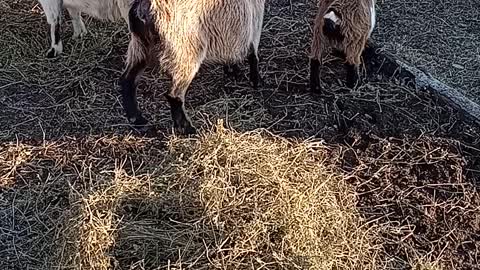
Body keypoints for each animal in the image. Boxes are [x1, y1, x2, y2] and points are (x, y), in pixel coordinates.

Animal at [118, 0, 264, 135]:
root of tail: (143, 9)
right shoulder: (253, 20)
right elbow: (253, 53)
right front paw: (256, 80)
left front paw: (232, 70)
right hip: (185, 52)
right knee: (174, 94)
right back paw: (186, 128)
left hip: (140, 48)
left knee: (128, 81)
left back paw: (138, 121)